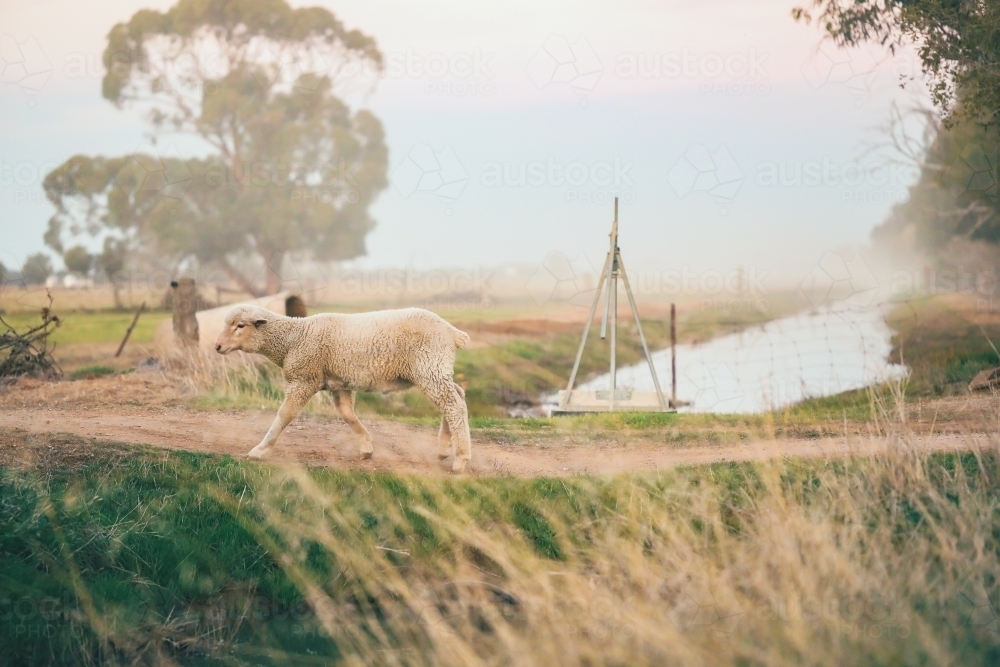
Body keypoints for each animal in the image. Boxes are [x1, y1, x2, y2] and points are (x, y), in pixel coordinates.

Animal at [214, 305, 473, 472]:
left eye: (240, 325)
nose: (217, 346)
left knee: (454, 405)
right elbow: (347, 414)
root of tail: (452, 331)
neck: (293, 338)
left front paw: (260, 450)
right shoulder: (338, 384)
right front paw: (366, 447)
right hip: (435, 369)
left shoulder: (304, 379)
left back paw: (460, 459)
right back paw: (444, 448)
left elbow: (285, 414)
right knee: (457, 396)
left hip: (429, 367)